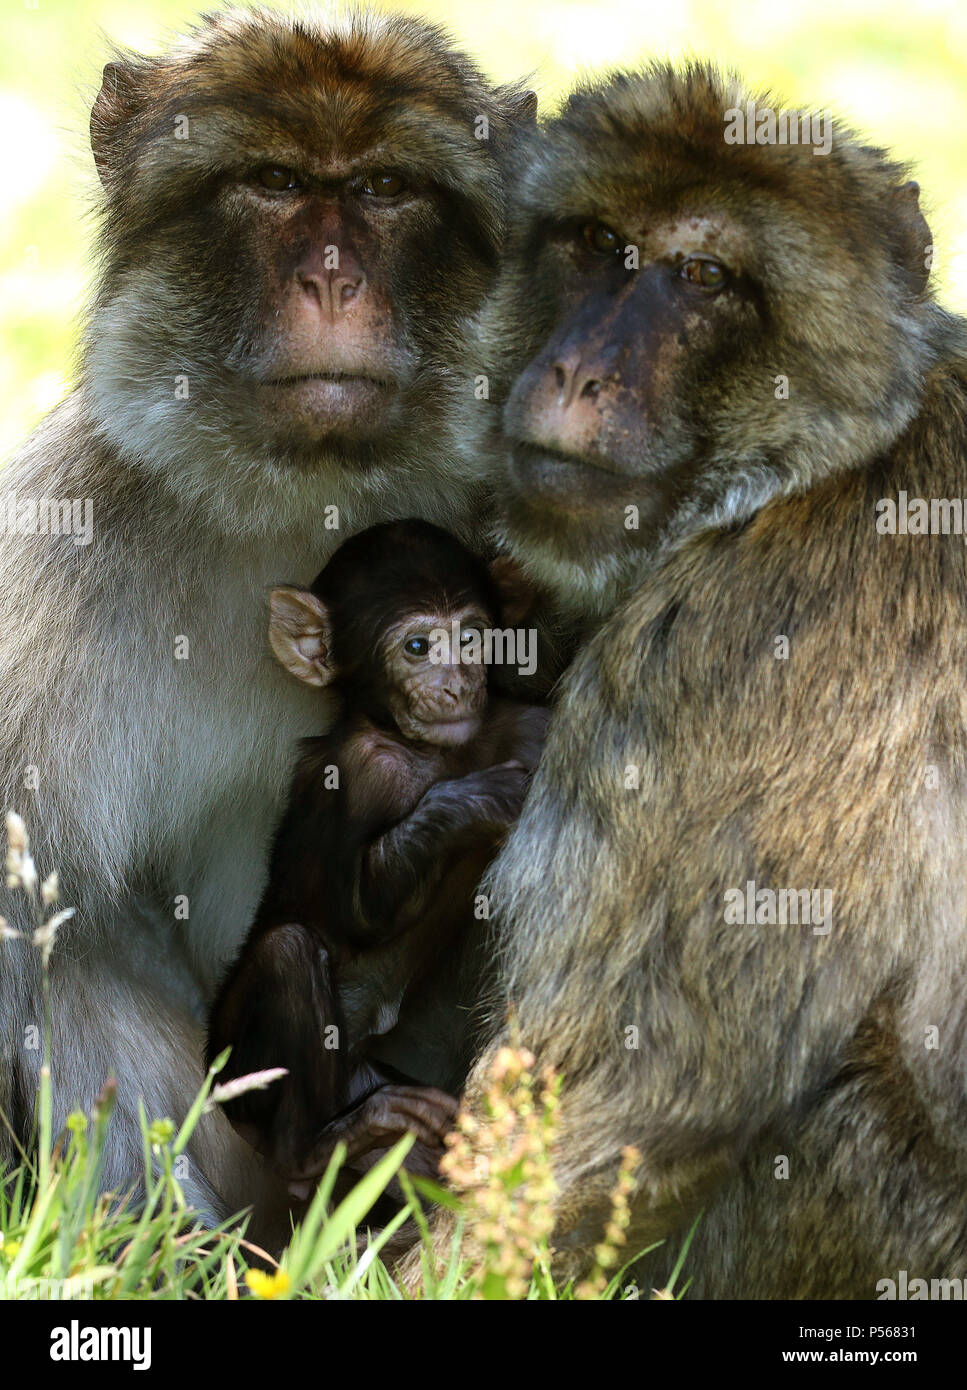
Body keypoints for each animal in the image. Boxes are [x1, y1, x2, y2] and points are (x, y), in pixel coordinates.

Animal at [206, 519, 547, 1192]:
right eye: (417, 646)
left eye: (472, 635)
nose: (457, 683)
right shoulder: (363, 771)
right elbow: (362, 912)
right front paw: (477, 800)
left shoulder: (520, 724)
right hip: (232, 1066)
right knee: (286, 952)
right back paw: (312, 1148)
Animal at [408, 64, 967, 1298]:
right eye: (596, 243)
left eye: (702, 277)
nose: (577, 371)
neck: (802, 470)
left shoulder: (720, 658)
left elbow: (631, 1099)